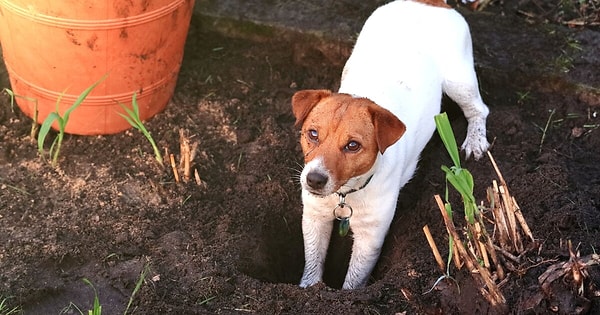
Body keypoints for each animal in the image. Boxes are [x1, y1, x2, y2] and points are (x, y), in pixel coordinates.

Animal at [292, 0, 490, 290]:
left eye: (353, 145)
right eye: (313, 134)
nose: (314, 180)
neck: (345, 194)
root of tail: (431, 2)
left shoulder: (371, 237)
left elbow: (354, 280)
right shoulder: (314, 218)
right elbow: (312, 262)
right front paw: (309, 289)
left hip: (459, 80)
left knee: (479, 109)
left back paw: (476, 139)